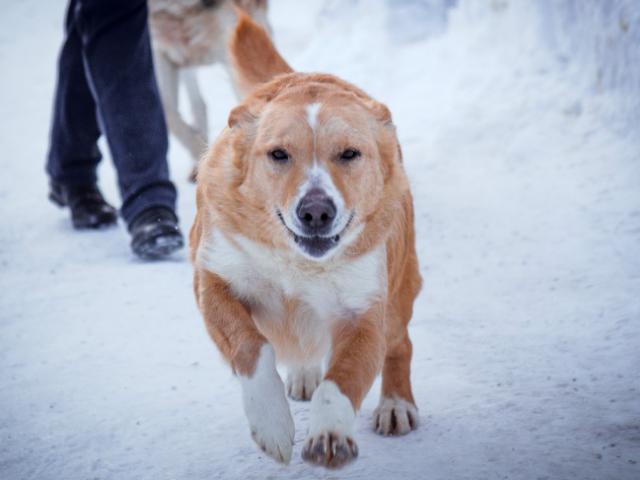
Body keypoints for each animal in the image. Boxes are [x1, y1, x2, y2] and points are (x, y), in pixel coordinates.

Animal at [188, 11, 422, 468]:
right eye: (279, 154)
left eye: (349, 154)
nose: (316, 211)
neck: (298, 264)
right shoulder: (213, 281)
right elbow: (254, 349)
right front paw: (273, 425)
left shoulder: (365, 312)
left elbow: (341, 381)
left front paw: (330, 433)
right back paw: (303, 375)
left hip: (400, 288)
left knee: (400, 344)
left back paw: (396, 405)